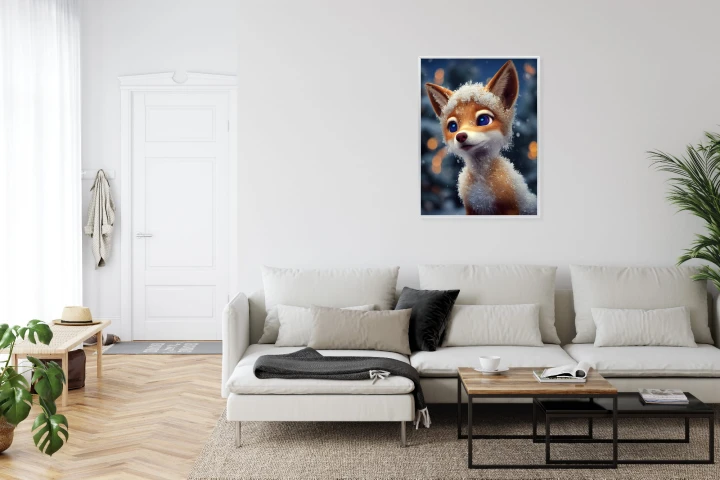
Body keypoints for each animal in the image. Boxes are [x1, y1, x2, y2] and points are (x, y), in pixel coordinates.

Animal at [425, 60, 537, 215]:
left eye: (483, 120)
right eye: (453, 127)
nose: (461, 136)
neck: (481, 183)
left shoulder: (510, 208)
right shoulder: (471, 209)